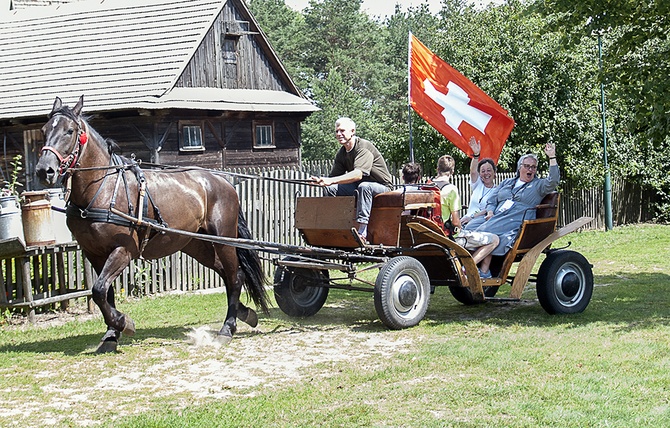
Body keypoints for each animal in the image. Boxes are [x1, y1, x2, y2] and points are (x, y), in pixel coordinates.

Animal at [36, 95, 270, 352]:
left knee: (235, 276)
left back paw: (227, 328)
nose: (44, 170)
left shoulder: (124, 250)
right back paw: (245, 313)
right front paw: (111, 334)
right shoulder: (94, 253)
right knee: (227, 273)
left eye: (69, 131)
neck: (104, 189)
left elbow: (98, 290)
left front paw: (124, 323)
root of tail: (223, 181)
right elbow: (105, 293)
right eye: (44, 130)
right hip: (196, 244)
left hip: (224, 240)